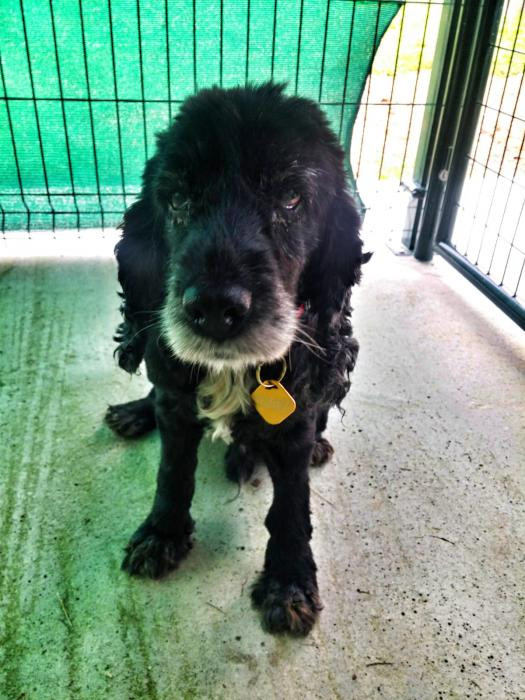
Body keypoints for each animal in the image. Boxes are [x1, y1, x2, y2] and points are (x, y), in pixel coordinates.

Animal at [105, 82, 370, 636]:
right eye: (177, 198)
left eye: (291, 197)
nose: (212, 308)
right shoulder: (177, 400)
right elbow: (172, 472)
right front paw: (161, 533)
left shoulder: (294, 420)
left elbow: (291, 505)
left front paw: (289, 583)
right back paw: (133, 413)